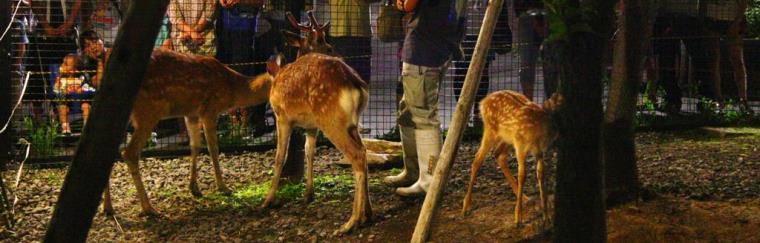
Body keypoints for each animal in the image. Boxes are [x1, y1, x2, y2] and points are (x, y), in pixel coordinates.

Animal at [99, 48, 280, 215]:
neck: (233, 89)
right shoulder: (210, 109)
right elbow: (213, 148)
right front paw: (223, 187)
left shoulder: (191, 113)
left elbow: (195, 146)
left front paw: (194, 188)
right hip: (148, 110)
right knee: (129, 153)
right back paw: (148, 208)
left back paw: (108, 207)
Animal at [258, 10, 372, 234]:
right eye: (328, 46)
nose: (337, 53)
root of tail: (356, 83)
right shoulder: (311, 125)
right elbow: (309, 151)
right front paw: (308, 194)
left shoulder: (282, 117)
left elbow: (279, 156)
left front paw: (267, 200)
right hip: (350, 122)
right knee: (363, 152)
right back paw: (367, 214)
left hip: (331, 119)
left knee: (357, 155)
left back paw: (350, 222)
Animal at [460, 90, 560, 227]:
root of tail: (483, 102)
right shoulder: (520, 144)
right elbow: (522, 175)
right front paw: (518, 219)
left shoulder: (539, 151)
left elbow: (541, 174)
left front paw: (546, 217)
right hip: (491, 130)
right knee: (478, 159)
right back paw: (466, 207)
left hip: (506, 137)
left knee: (498, 154)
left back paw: (525, 198)